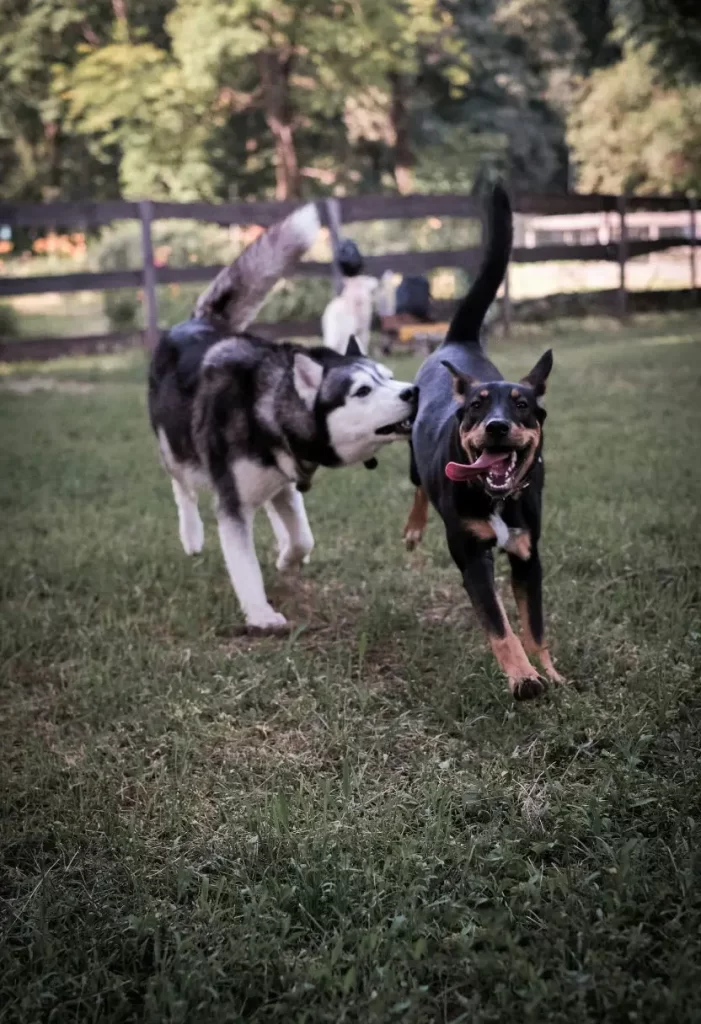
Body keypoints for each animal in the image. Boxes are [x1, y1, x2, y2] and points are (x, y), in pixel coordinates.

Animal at [145, 202, 413, 626]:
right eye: (362, 391)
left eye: (387, 377)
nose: (413, 391)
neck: (265, 408)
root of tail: (198, 320)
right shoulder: (233, 506)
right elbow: (245, 564)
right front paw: (260, 614)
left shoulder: (285, 477)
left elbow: (304, 536)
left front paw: (288, 559)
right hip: (176, 450)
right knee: (181, 487)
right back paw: (191, 536)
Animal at [401, 184, 560, 700]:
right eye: (476, 406)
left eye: (522, 405)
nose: (495, 426)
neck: (497, 499)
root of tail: (460, 343)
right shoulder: (472, 555)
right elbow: (500, 626)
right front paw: (524, 678)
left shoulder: (529, 557)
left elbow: (534, 625)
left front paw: (550, 672)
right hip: (415, 457)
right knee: (418, 486)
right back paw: (413, 528)